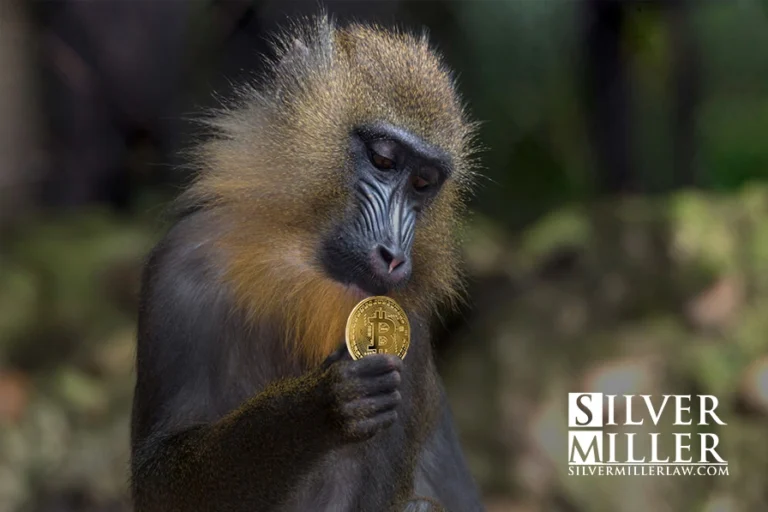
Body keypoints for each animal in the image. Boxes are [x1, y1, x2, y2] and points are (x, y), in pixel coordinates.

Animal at [130, 15, 483, 512]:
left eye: (422, 183)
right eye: (382, 159)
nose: (393, 257)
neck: (298, 271)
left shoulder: (410, 342)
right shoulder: (179, 269)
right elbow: (157, 478)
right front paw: (322, 404)